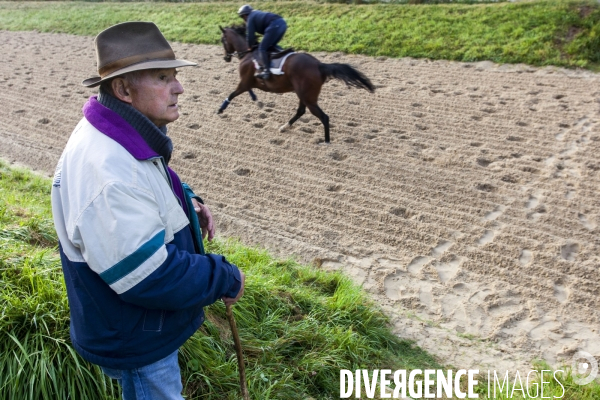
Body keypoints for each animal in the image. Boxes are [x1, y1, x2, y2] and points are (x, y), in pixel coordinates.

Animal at [216, 24, 376, 143]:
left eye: (222, 40)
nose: (225, 58)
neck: (249, 53)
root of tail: (319, 65)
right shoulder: (248, 82)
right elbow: (248, 92)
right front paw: (257, 102)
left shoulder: (244, 82)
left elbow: (232, 94)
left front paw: (220, 110)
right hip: (303, 94)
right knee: (301, 111)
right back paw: (284, 127)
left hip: (308, 97)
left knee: (323, 117)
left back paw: (326, 142)